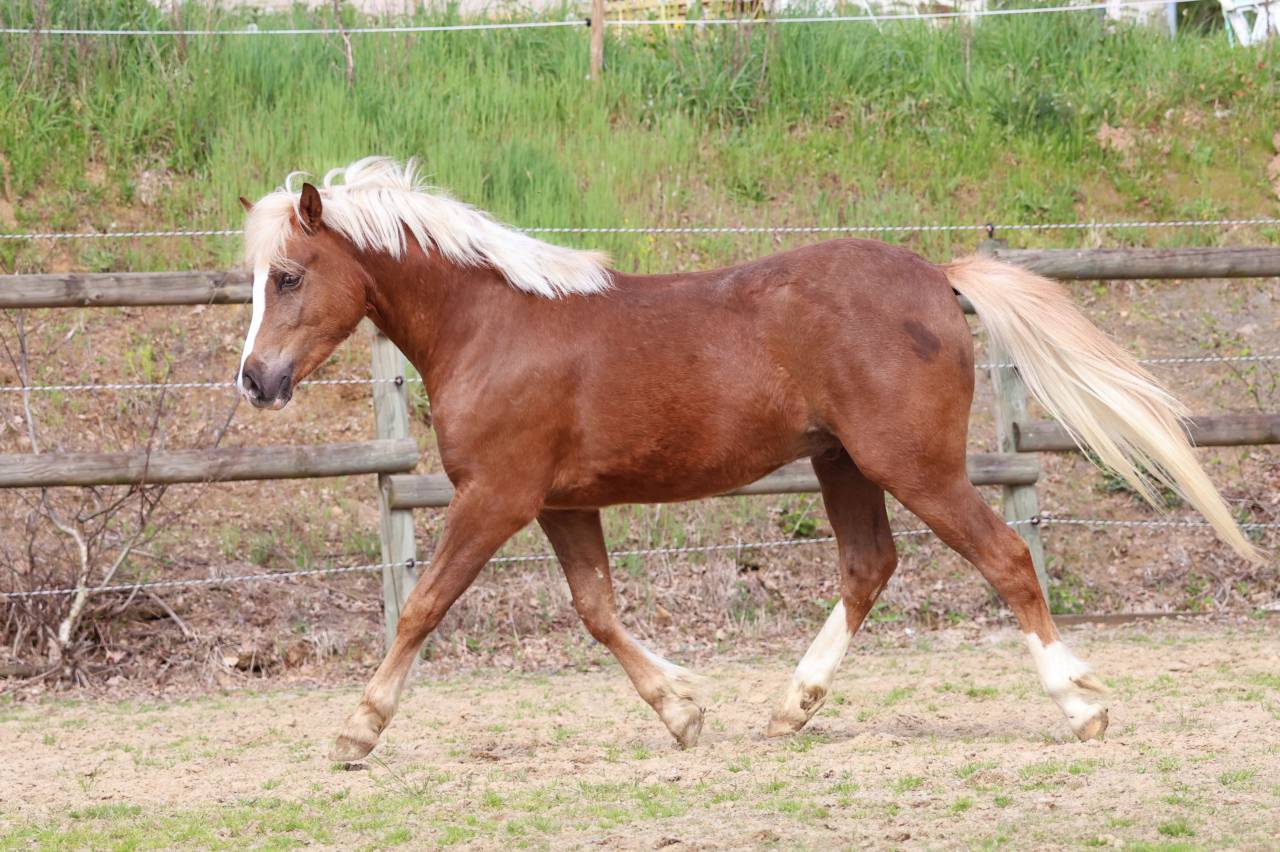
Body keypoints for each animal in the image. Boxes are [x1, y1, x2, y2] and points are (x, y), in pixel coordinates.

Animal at [235, 157, 1259, 761]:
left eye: (288, 277)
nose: (254, 380)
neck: (492, 324)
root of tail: (937, 276)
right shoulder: (561, 502)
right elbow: (598, 613)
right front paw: (684, 709)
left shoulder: (496, 498)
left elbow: (422, 608)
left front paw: (356, 729)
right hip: (843, 465)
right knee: (868, 566)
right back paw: (791, 706)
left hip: (913, 466)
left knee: (1004, 557)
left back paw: (1081, 707)